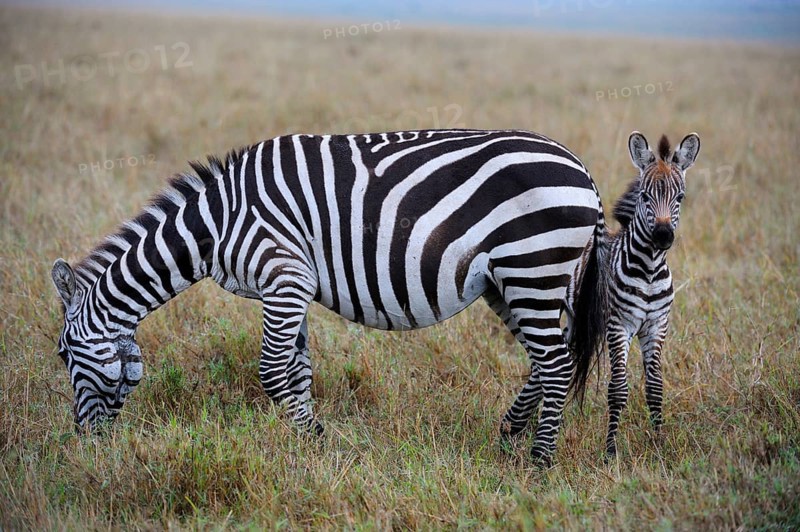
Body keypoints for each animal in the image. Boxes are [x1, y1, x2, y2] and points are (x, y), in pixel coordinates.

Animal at [50, 129, 607, 465]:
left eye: (63, 356)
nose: (84, 443)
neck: (217, 224)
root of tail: (583, 171)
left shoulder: (284, 275)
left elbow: (271, 372)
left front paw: (311, 443)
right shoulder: (288, 286)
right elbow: (297, 371)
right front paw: (313, 444)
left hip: (532, 266)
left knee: (556, 363)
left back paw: (539, 462)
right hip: (508, 281)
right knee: (544, 358)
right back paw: (509, 433)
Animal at [564, 131, 700, 457]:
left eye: (680, 198)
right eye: (644, 197)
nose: (663, 236)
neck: (649, 271)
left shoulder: (656, 326)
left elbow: (655, 387)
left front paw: (659, 443)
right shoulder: (619, 326)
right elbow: (617, 389)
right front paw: (610, 450)